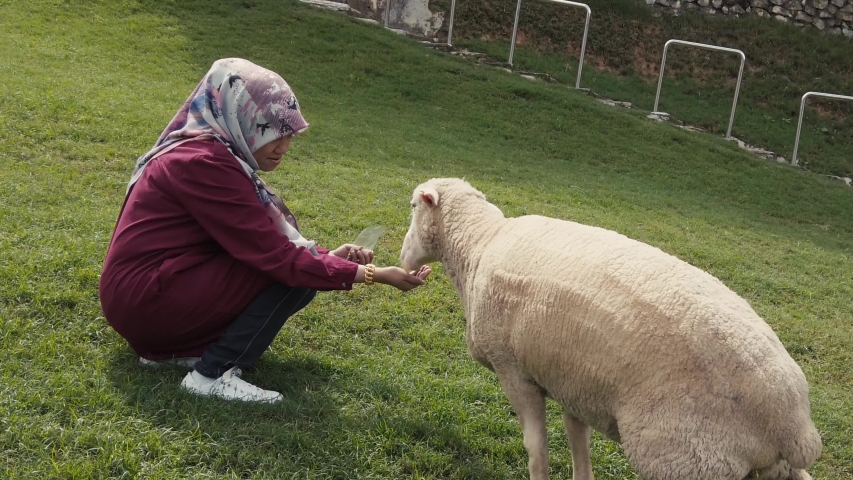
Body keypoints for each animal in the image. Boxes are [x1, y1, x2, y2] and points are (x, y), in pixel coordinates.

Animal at [402, 177, 824, 480]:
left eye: (412, 207)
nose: (404, 257)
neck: (478, 245)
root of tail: (788, 424)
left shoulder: (514, 372)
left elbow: (536, 451)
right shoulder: (571, 381)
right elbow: (578, 443)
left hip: (686, 459)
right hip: (764, 467)